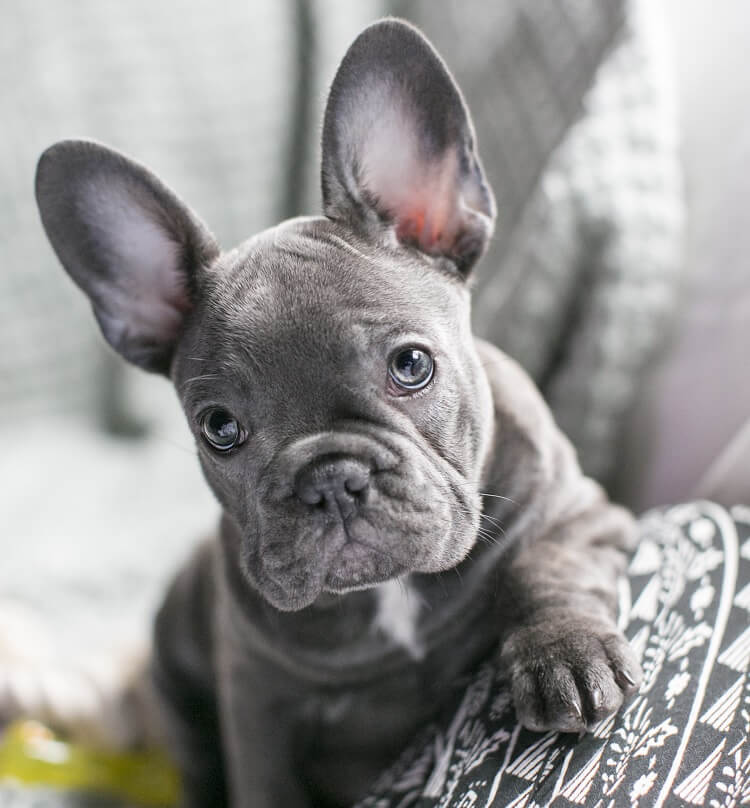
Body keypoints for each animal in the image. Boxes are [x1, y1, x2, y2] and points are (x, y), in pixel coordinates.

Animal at [35, 17, 644, 808]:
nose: (330, 479)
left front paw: (564, 653)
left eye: (411, 366)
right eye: (219, 429)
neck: (390, 595)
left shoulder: (581, 506)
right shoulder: (255, 704)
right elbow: (265, 783)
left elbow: (549, 561)